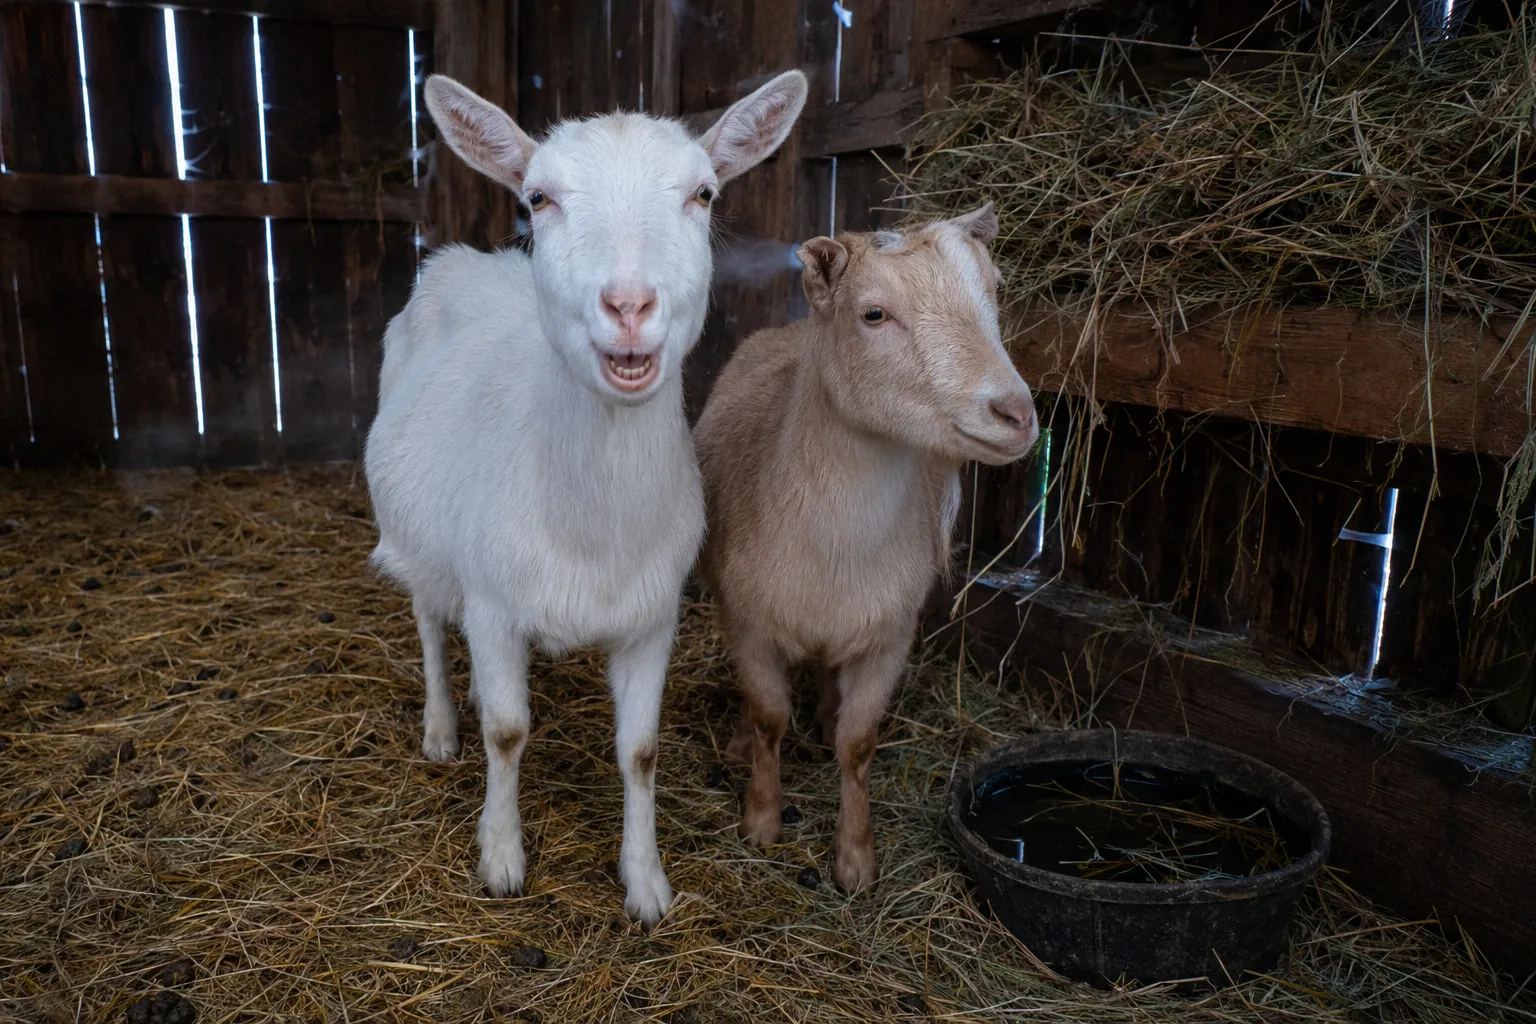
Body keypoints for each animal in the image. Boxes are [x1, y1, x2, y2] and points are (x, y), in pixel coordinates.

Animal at [364, 70, 809, 926]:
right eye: (539, 197)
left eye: (704, 193)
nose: (629, 306)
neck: (594, 526)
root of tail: (467, 261)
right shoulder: (493, 601)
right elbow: (508, 733)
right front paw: (502, 859)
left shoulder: (653, 618)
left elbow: (640, 751)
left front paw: (647, 884)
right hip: (419, 540)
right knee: (430, 620)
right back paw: (441, 727)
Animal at [693, 209, 1038, 892]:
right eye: (874, 314)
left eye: (994, 291)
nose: (1016, 414)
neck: (835, 545)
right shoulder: (750, 622)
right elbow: (769, 716)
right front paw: (761, 822)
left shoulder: (889, 634)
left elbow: (860, 742)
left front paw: (855, 862)